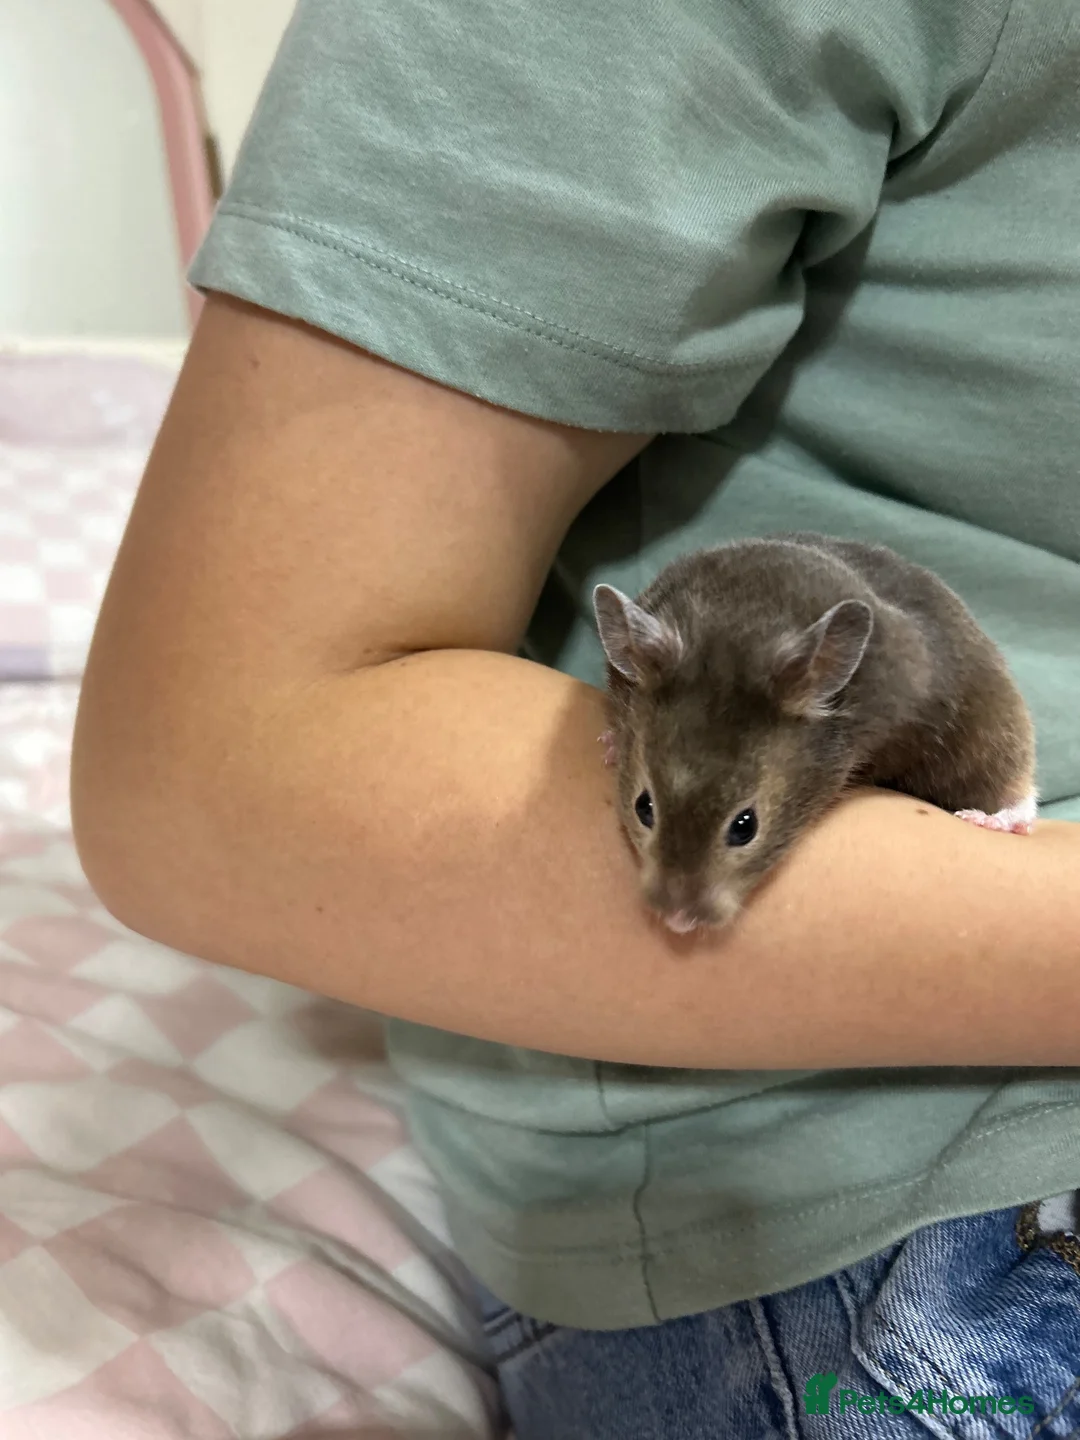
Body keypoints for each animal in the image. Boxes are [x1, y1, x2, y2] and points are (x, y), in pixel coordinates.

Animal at [592, 532, 1036, 935]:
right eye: (643, 808)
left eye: (745, 827)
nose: (677, 921)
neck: (744, 616)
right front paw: (609, 744)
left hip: (991, 724)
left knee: (1017, 787)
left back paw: (990, 820)